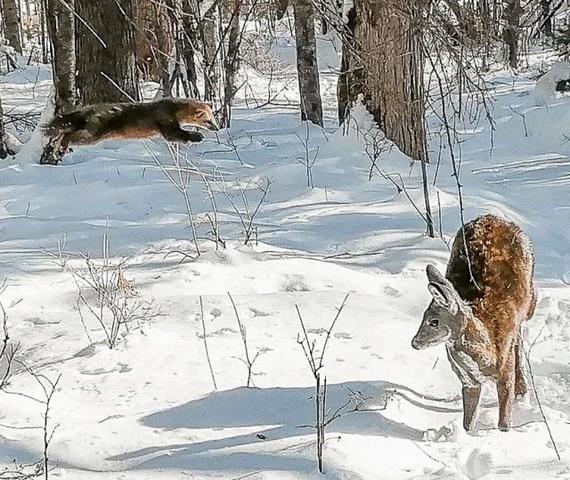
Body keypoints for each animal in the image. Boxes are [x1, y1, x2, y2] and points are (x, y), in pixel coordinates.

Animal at [411, 214, 537, 432]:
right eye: (423, 316)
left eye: (434, 322)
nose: (415, 342)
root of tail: (491, 216)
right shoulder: (468, 381)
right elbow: (468, 421)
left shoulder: (505, 371)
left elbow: (504, 420)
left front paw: (505, 431)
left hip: (530, 298)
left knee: (520, 340)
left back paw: (523, 391)